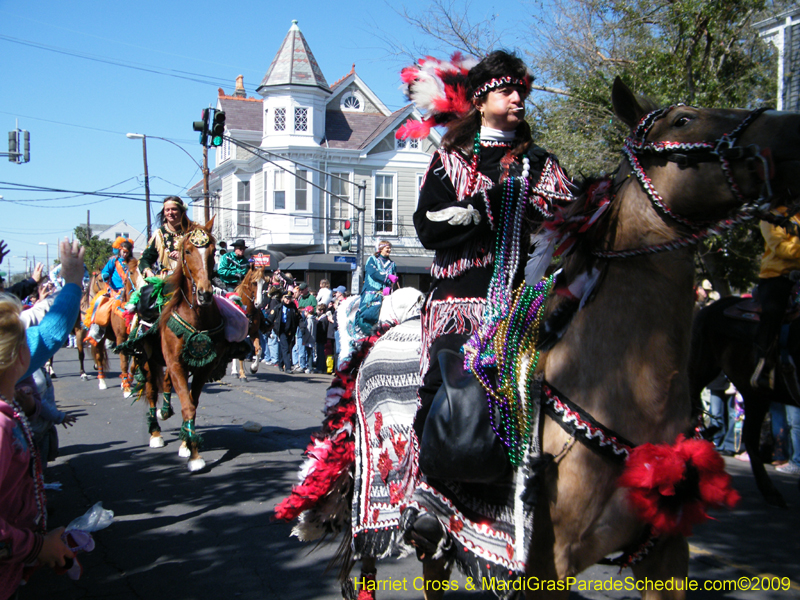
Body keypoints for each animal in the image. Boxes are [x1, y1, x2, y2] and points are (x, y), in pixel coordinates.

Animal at [318, 78, 800, 596]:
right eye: (683, 120)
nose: (792, 130)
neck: (624, 385)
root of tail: (381, 333)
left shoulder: (665, 553)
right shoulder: (546, 565)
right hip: (375, 521)